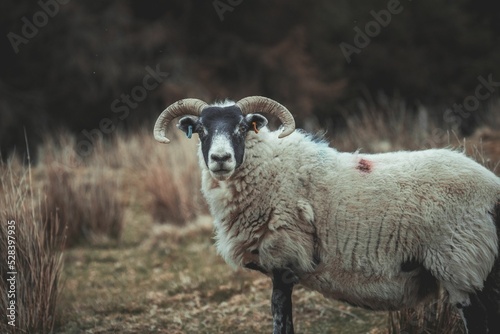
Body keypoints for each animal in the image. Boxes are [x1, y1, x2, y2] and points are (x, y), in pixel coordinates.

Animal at [152, 95, 500, 332]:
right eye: (200, 129)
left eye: (242, 128)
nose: (220, 159)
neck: (269, 170)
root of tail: (492, 189)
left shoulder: (283, 261)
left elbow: (282, 322)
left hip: (464, 266)